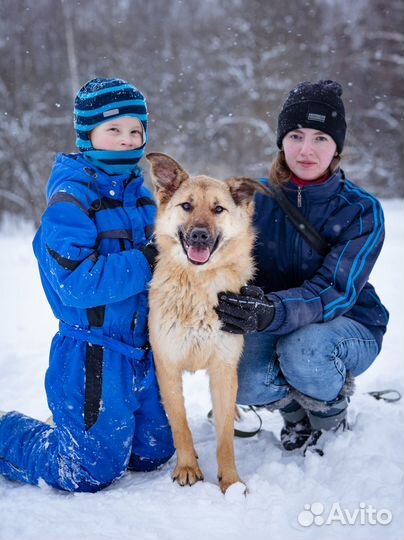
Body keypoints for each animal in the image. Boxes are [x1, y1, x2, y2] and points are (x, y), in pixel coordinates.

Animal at [146, 152, 268, 494]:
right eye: (186, 206)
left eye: (218, 209)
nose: (200, 234)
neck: (198, 285)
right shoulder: (167, 367)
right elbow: (179, 424)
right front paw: (187, 467)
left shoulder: (224, 369)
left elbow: (225, 439)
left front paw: (232, 483)